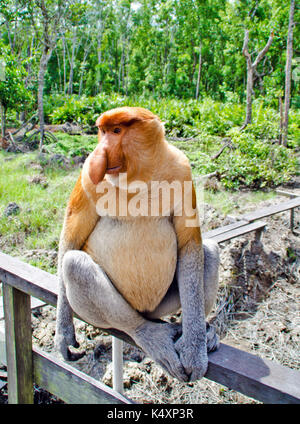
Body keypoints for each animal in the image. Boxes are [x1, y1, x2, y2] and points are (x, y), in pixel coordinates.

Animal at [54, 107, 219, 380]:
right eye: (102, 131)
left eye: (116, 131)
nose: (100, 152)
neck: (140, 176)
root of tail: (145, 312)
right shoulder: (87, 175)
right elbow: (71, 240)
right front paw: (63, 333)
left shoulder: (182, 170)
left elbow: (189, 246)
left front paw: (194, 352)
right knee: (75, 265)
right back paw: (148, 334)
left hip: (162, 305)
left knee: (210, 252)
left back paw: (201, 331)